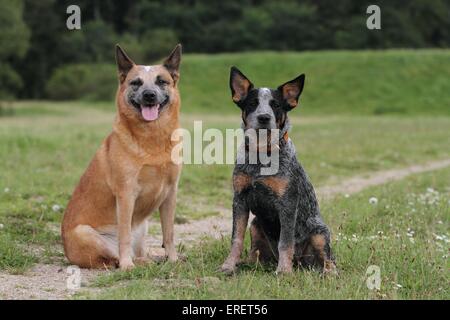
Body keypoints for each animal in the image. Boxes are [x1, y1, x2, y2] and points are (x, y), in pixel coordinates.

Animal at [220, 66, 336, 274]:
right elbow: (236, 238)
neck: (260, 157)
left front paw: (284, 271)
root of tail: (300, 262)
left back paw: (328, 272)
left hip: (320, 232)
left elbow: (285, 242)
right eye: (252, 103)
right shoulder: (239, 199)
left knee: (328, 259)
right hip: (255, 225)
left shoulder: (288, 204)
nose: (264, 117)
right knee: (256, 252)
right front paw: (229, 265)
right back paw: (249, 263)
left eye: (276, 105)